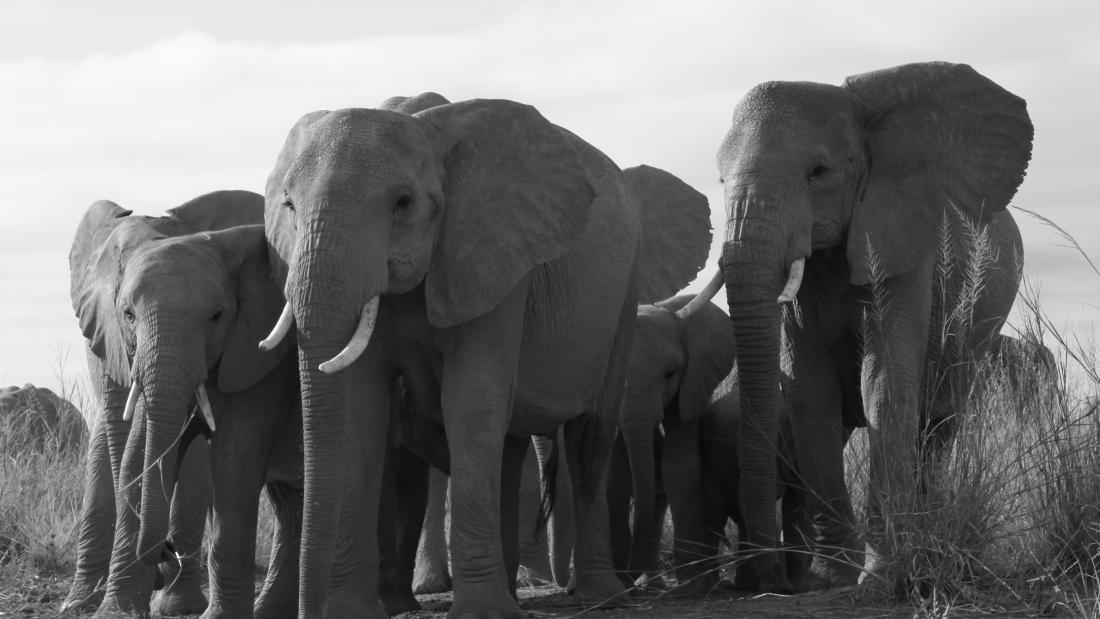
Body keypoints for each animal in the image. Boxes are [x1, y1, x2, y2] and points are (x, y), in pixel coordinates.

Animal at [66, 191, 299, 615]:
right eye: (128, 314)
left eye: (216, 317)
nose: (165, 553)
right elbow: (133, 450)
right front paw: (116, 611)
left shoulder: (254, 351)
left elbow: (219, 455)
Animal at [259, 89, 704, 615]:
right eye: (288, 205)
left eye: (404, 203)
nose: (309, 611)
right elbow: (361, 411)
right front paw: (352, 614)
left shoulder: (498, 260)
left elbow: (469, 401)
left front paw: (481, 613)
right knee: (509, 449)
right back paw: (513, 591)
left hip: (623, 294)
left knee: (588, 437)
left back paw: (600, 596)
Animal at [677, 60, 1029, 593]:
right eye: (719, 177)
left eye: (818, 172)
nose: (771, 581)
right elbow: (809, 392)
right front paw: (830, 578)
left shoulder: (906, 244)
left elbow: (884, 381)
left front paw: (881, 576)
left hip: (977, 326)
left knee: (938, 424)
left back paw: (925, 536)